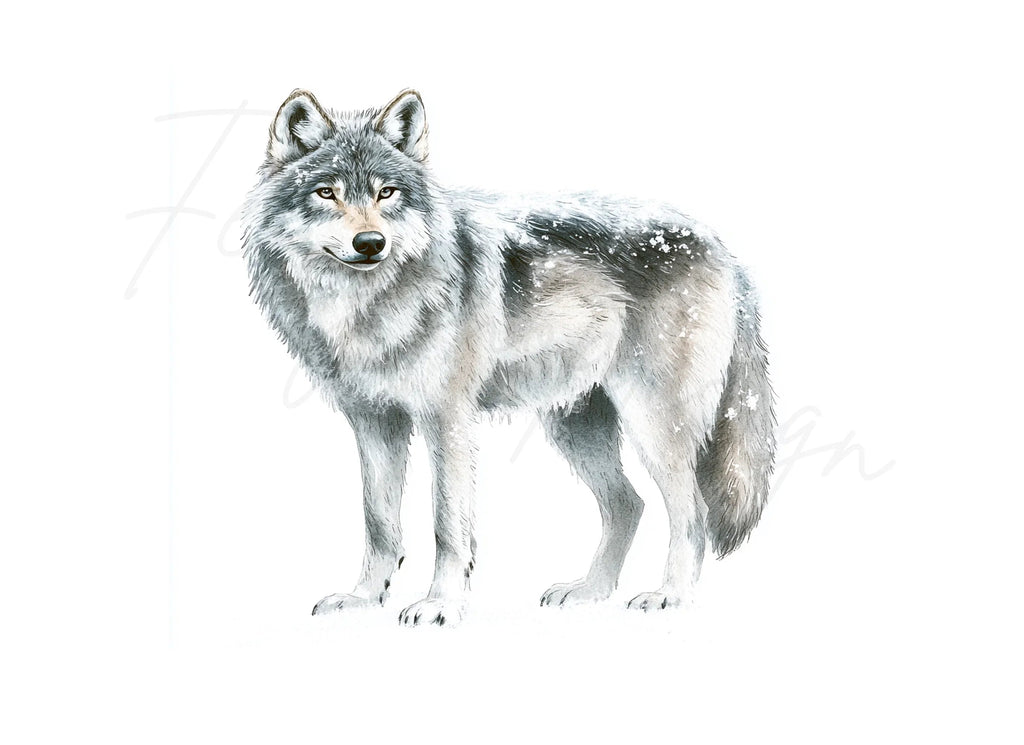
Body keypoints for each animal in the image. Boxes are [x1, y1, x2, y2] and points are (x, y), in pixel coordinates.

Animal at [241, 89, 776, 627]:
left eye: (386, 193)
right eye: (325, 193)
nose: (370, 243)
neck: (364, 306)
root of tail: (722, 248)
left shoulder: (447, 421)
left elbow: (447, 525)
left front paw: (441, 604)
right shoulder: (374, 421)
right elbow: (378, 522)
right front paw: (364, 598)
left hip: (652, 423)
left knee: (693, 512)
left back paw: (671, 596)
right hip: (574, 426)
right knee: (629, 505)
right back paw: (590, 591)